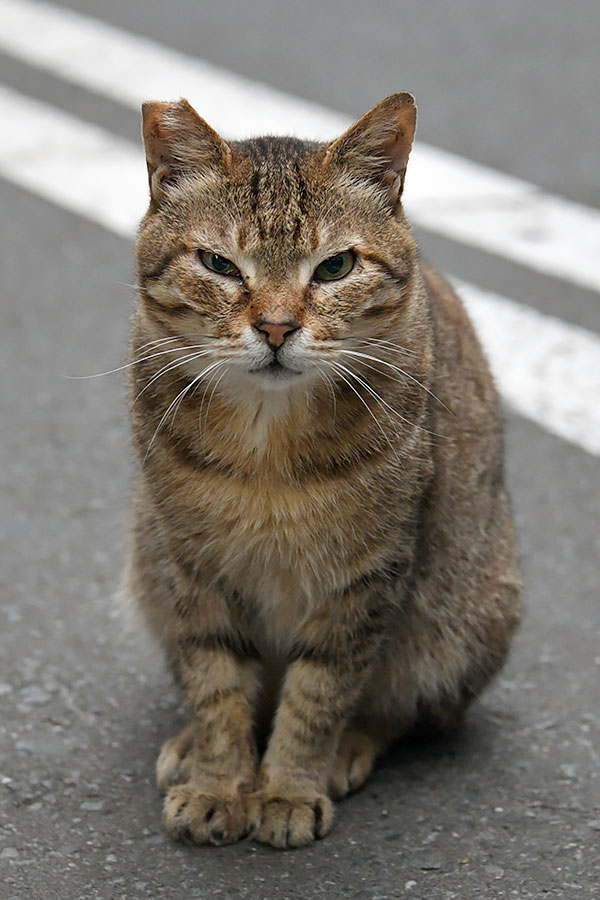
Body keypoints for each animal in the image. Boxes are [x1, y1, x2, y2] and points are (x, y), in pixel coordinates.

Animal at [125, 93, 520, 852]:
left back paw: (349, 747)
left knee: (409, 708)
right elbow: (217, 682)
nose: (277, 327)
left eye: (335, 267)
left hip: (467, 610)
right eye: (219, 263)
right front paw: (220, 780)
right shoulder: (190, 564)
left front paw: (287, 786)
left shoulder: (368, 577)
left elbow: (320, 691)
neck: (266, 442)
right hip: (147, 564)